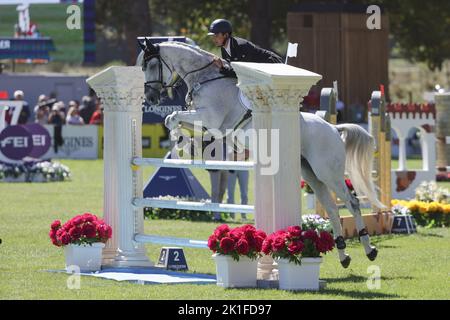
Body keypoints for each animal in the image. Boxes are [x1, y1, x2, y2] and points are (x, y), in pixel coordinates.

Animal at [137, 38, 384, 266]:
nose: (150, 98)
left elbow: (175, 117)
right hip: (310, 173)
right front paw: (185, 143)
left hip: (327, 172)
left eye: (150, 65)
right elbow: (173, 119)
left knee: (351, 203)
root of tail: (333, 128)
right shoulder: (206, 123)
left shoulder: (211, 119)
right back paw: (344, 255)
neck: (205, 79)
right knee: (332, 208)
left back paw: (369, 249)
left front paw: (185, 143)